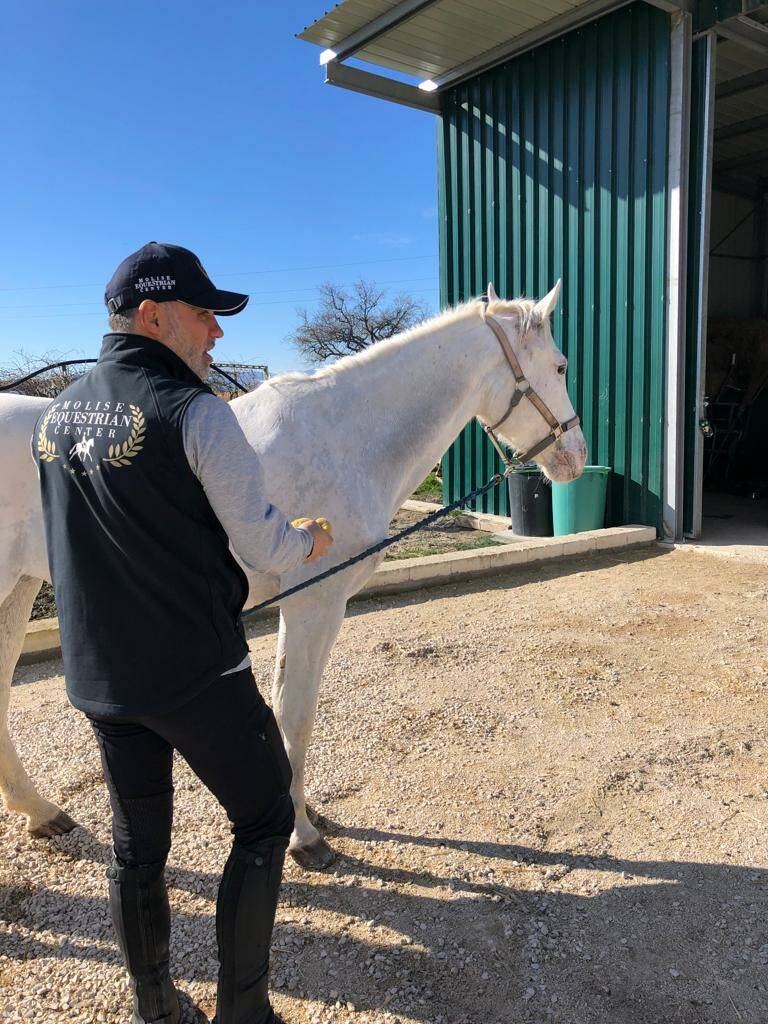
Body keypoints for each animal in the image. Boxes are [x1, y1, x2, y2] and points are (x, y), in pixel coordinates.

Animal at [1, 284, 589, 868]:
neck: (344, 439)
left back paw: (40, 812)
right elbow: (295, 715)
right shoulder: (314, 602)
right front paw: (303, 836)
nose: (577, 456)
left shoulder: (310, 605)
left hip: (19, 592)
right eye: (561, 366)